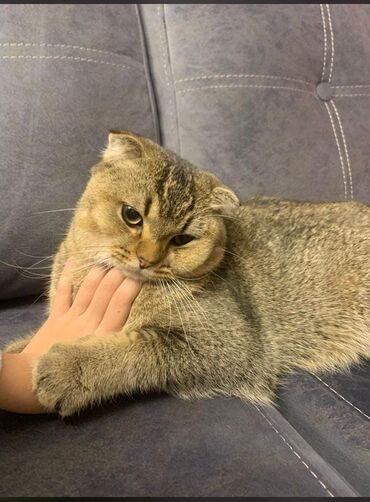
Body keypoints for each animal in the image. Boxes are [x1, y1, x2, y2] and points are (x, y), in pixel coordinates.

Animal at [5, 129, 370, 416]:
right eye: (131, 215)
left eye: (182, 239)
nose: (146, 260)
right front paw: (19, 351)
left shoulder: (229, 344)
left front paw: (69, 367)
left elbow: (136, 349)